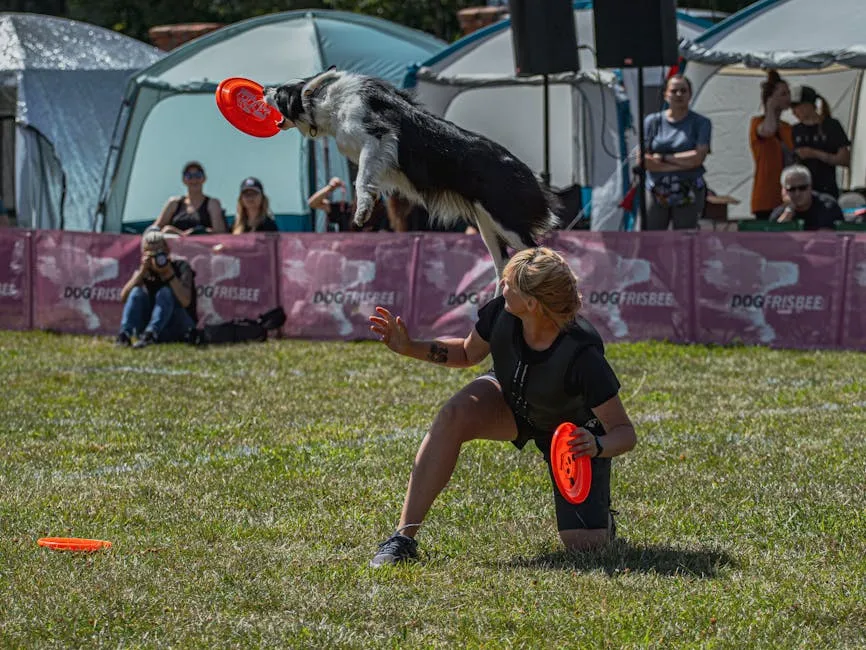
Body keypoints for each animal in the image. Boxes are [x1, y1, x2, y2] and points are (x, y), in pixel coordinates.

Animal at [264, 67, 560, 280]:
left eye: (279, 94)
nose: (265, 88)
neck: (325, 101)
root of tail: (530, 174)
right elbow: (367, 177)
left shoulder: (378, 137)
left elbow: (361, 178)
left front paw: (362, 211)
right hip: (487, 225)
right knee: (504, 265)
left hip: (506, 221)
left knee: (538, 253)